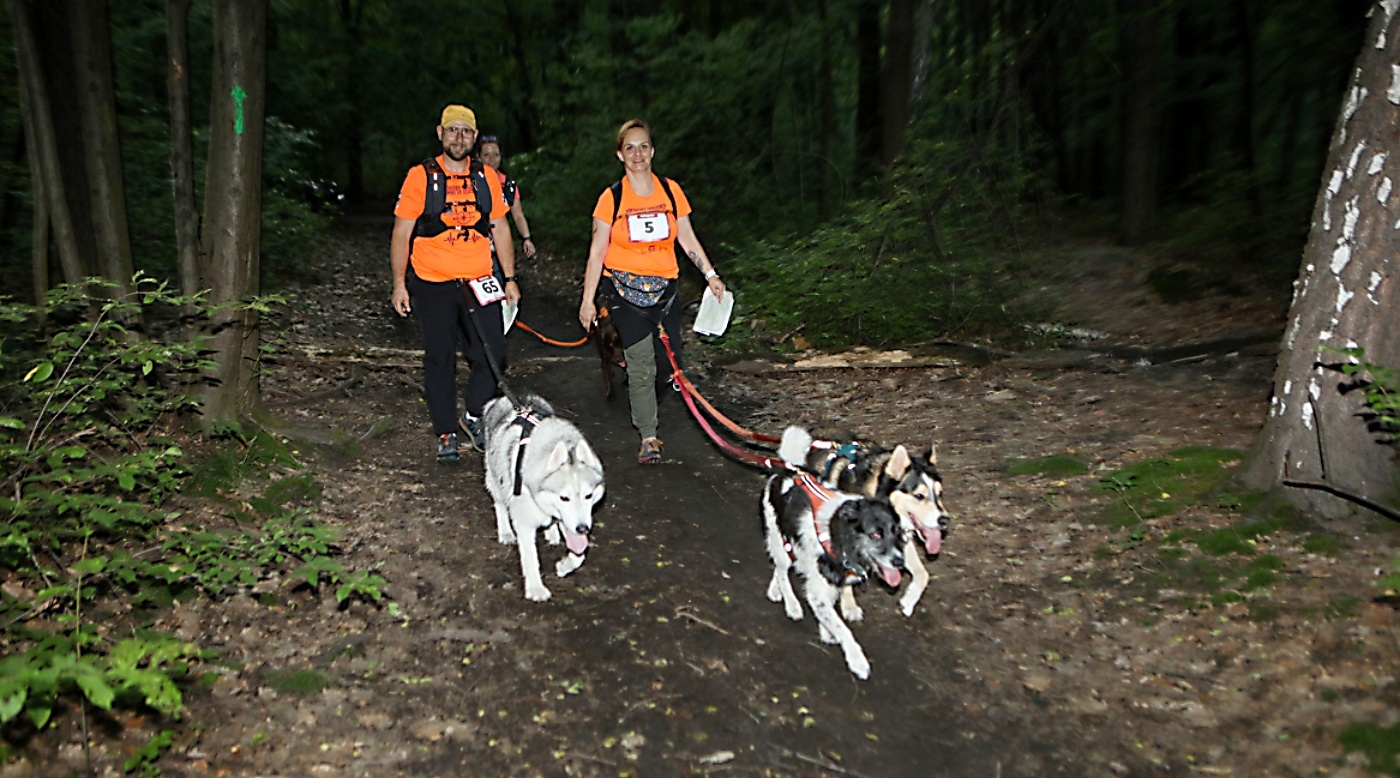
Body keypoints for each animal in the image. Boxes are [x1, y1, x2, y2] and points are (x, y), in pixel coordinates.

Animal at [761, 425, 901, 680]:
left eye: (895, 531)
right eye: (875, 535)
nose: (899, 561)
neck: (839, 534)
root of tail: (788, 471)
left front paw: (826, 631)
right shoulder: (820, 585)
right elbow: (842, 628)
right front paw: (857, 661)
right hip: (778, 537)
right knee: (782, 570)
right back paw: (791, 604)